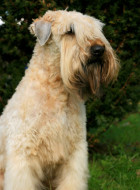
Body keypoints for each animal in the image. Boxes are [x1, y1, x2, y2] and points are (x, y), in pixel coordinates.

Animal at [0, 10, 119, 190]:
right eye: (70, 31)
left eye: (97, 29)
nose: (99, 49)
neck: (57, 90)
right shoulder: (23, 152)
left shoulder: (75, 150)